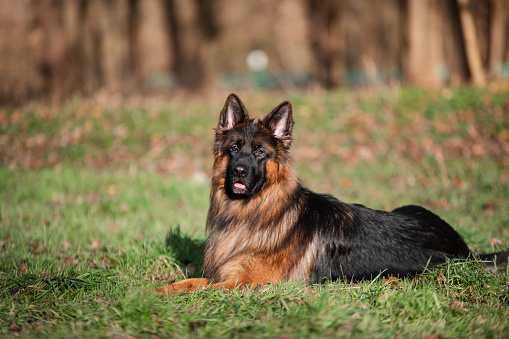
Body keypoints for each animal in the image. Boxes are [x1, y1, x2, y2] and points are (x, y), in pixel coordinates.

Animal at [154, 94, 504, 296]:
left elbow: (202, 290)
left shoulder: (246, 283)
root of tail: (465, 251)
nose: (239, 171)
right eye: (234, 149)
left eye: (259, 153)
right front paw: (156, 291)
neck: (253, 212)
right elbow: (189, 282)